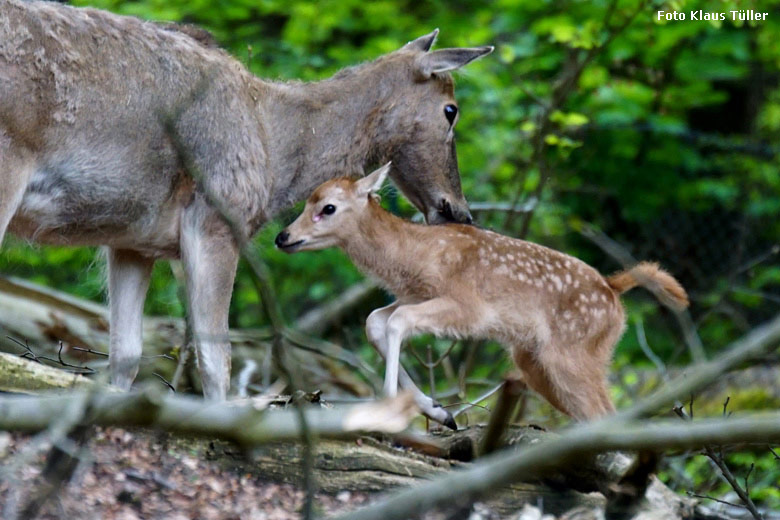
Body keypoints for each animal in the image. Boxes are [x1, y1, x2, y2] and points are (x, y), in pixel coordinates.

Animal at [0, 0, 494, 398]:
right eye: (450, 110)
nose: (458, 210)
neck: (275, 148)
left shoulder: (132, 242)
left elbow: (125, 356)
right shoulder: (218, 217)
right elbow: (216, 360)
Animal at [276, 166, 688, 426]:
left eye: (328, 208)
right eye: (306, 202)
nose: (283, 237)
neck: (416, 255)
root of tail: (613, 289)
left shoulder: (469, 307)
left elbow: (396, 321)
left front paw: (391, 407)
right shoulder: (415, 294)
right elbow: (375, 320)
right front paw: (438, 411)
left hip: (575, 352)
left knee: (607, 414)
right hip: (535, 361)